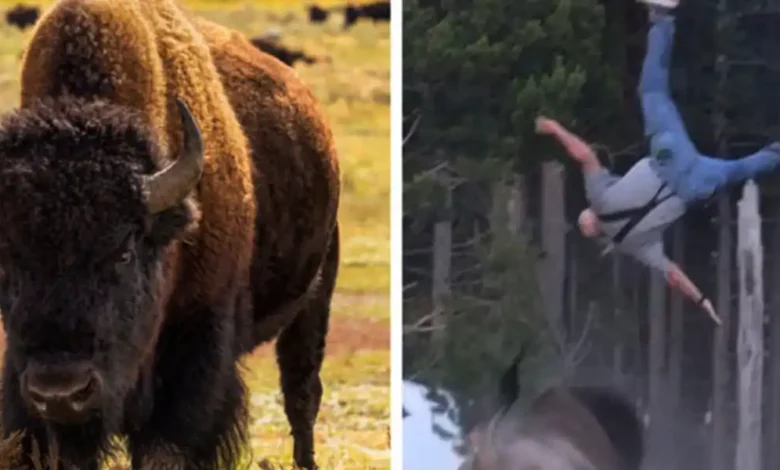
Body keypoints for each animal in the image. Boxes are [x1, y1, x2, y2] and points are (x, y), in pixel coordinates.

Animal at [0, 0, 340, 469]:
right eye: (7, 257)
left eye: (123, 252)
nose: (60, 391)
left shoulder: (197, 344)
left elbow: (168, 445)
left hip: (315, 296)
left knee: (301, 393)